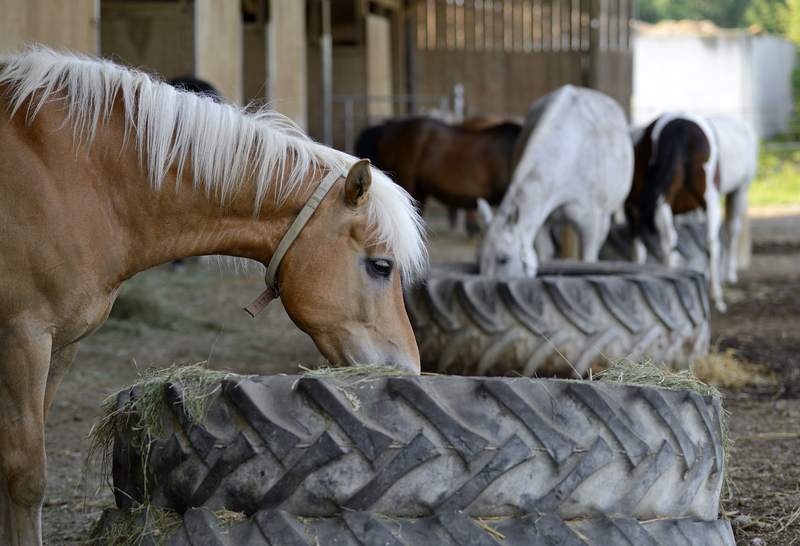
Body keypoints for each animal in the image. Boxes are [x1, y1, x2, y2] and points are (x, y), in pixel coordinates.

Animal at [0, 47, 428, 544]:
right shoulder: (23, 337)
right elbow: (26, 476)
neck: (80, 175)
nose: (405, 370)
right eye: (381, 266)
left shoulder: (60, 346)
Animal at [478, 86, 636, 276]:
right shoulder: (542, 223)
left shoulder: (591, 223)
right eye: (479, 258)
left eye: (504, 259)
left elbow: (588, 259)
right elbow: (544, 255)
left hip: (605, 218)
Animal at [628, 111, 728, 310]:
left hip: (663, 198)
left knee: (667, 240)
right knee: (711, 242)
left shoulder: (634, 210)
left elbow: (639, 249)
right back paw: (716, 296)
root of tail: (681, 122)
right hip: (710, 198)